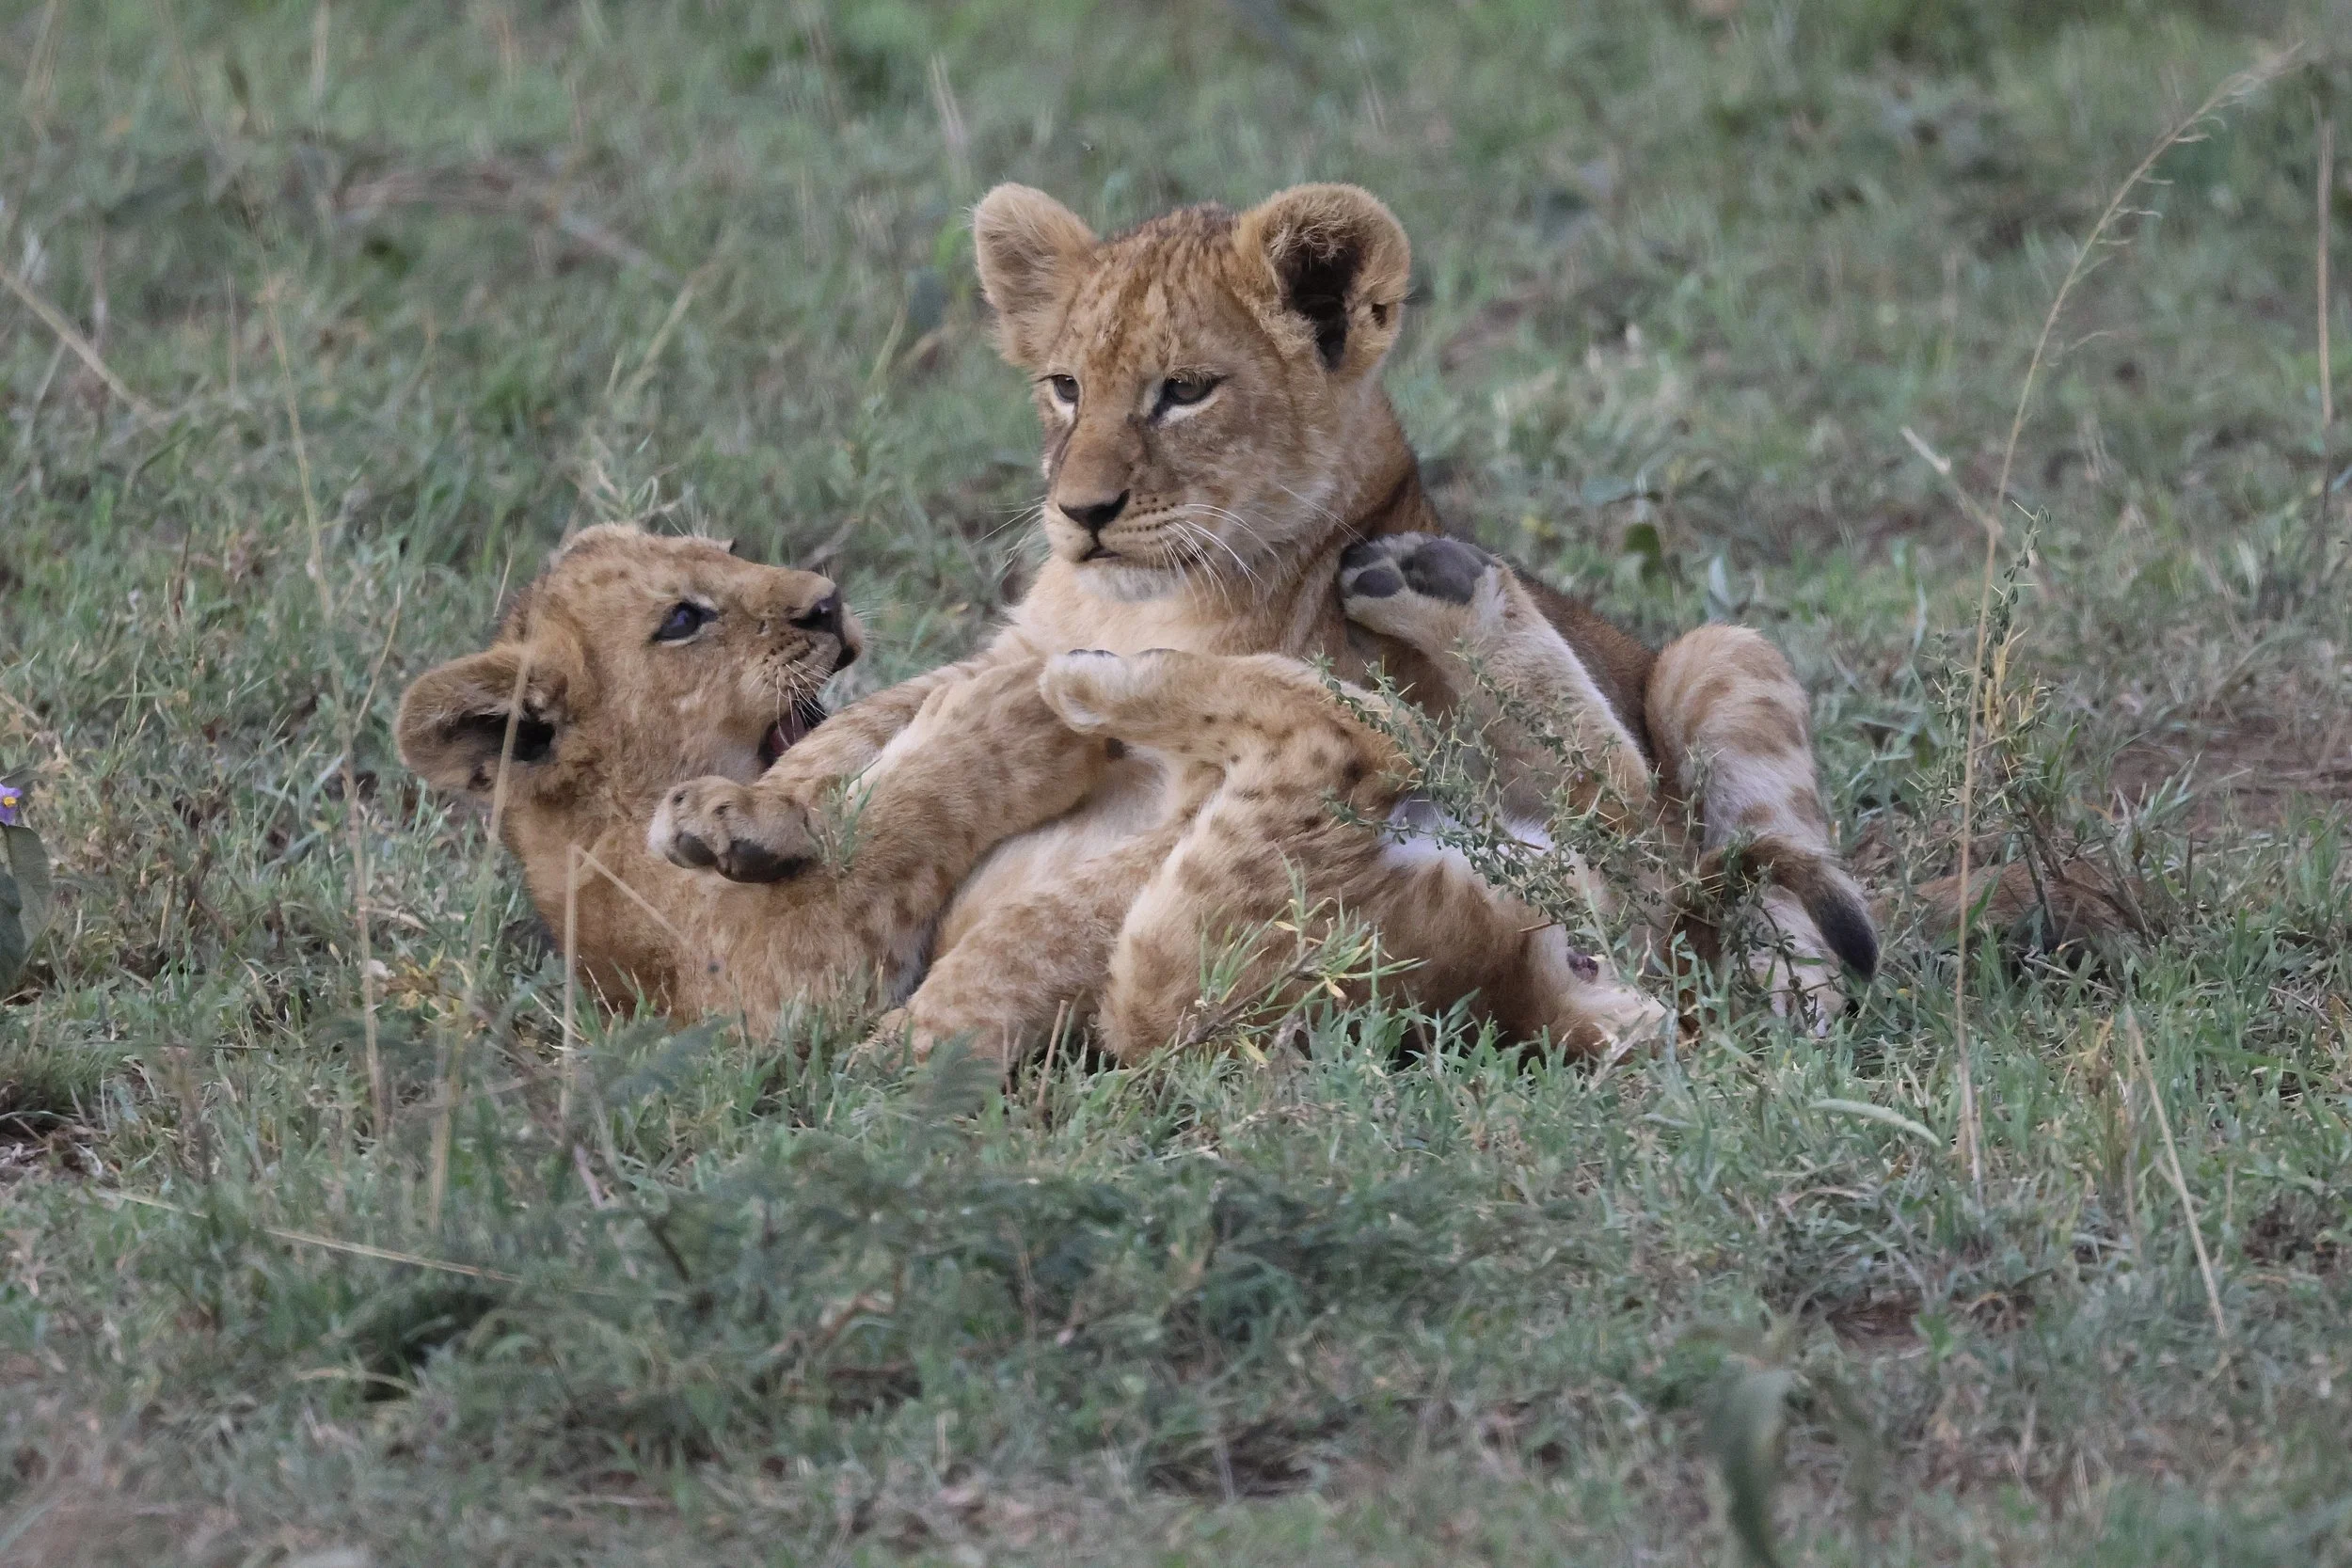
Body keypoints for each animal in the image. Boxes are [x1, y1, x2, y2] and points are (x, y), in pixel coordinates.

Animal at [650, 182, 1874, 1050]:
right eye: (1064, 387)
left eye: (1185, 391)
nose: (1079, 513)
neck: (1132, 598)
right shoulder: (1008, 650)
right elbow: (868, 728)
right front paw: (735, 813)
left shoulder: (1189, 798)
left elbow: (1047, 922)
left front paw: (917, 1047)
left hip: (1718, 662)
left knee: (1685, 848)